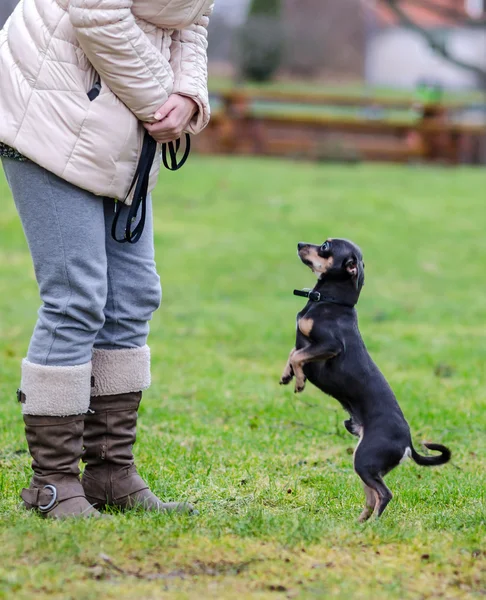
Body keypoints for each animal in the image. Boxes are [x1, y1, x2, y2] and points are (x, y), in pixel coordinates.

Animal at [280, 238, 452, 520]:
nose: (299, 243)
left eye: (325, 246)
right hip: (365, 464)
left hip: (365, 459)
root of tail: (407, 444)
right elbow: (293, 352)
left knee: (385, 494)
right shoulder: (309, 345)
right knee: (372, 498)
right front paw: (287, 375)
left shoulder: (330, 345)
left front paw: (300, 380)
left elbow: (298, 355)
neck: (331, 302)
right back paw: (359, 523)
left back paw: (373, 524)